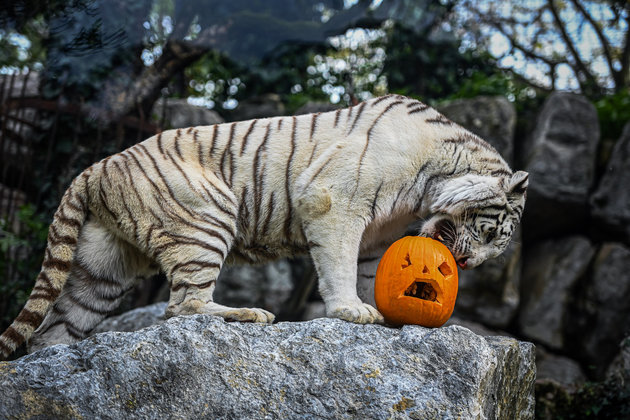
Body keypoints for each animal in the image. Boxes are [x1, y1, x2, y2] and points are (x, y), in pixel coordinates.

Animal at [0, 94, 528, 358]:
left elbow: (368, 271)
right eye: (488, 235)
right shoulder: (335, 199)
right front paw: (351, 311)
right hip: (207, 218)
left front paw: (380, 310)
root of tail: (97, 166)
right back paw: (250, 314)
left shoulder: (378, 234)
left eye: (493, 250)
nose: (465, 262)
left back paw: (50, 365)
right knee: (182, 306)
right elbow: (338, 264)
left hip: (101, 268)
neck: (433, 177)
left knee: (54, 330)